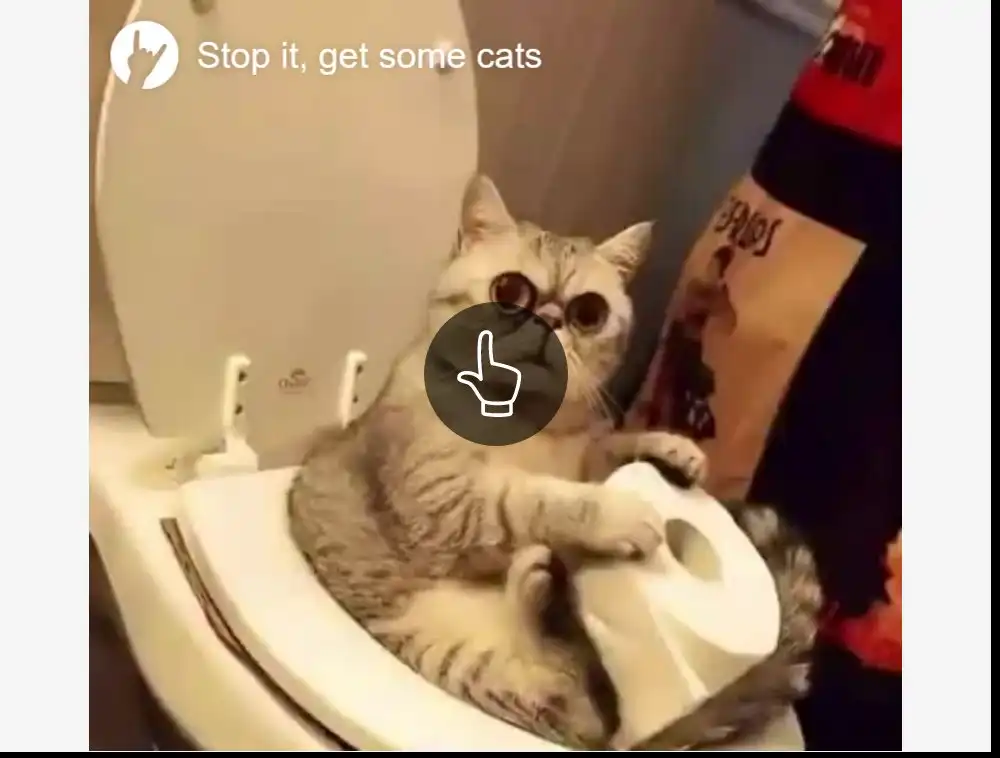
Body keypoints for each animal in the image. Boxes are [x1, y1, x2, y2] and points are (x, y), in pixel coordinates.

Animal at [287, 174, 821, 749]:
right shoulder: (444, 500)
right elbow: (536, 499)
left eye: (588, 312)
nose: (549, 320)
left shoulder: (576, 456)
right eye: (510, 291)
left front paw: (668, 447)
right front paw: (618, 513)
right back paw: (542, 583)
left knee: (594, 704)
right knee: (585, 711)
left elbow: (605, 452)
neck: (525, 418)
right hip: (463, 659)